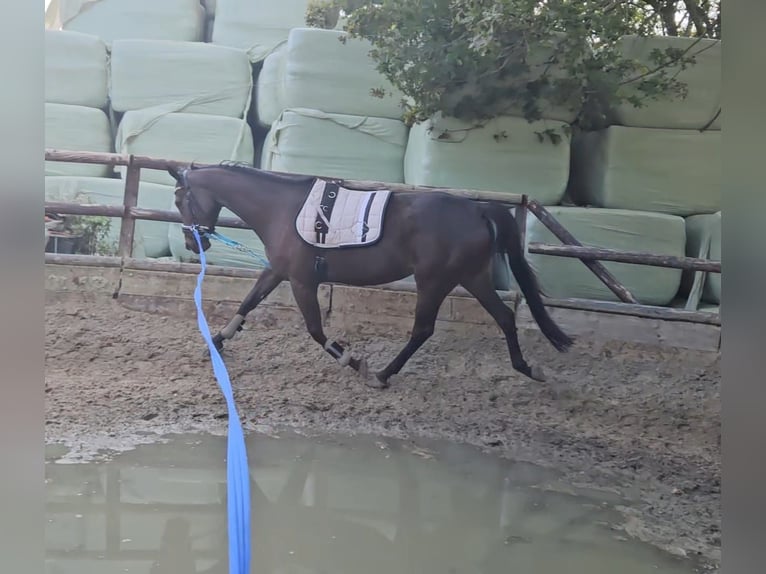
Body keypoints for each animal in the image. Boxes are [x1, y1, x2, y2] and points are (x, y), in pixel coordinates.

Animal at [170, 162, 576, 390]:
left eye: (178, 199)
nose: (191, 241)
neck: (281, 209)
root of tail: (477, 211)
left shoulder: (302, 281)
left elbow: (316, 330)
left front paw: (352, 361)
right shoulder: (279, 271)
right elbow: (248, 302)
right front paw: (216, 342)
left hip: (435, 281)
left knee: (423, 330)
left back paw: (382, 374)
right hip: (471, 277)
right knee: (505, 316)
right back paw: (527, 368)